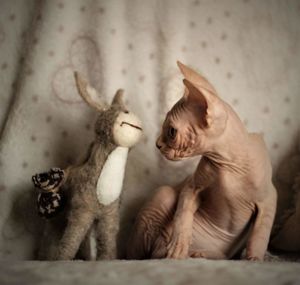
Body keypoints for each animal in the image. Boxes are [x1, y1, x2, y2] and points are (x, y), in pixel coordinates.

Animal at [126, 61, 276, 260]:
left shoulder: (269, 199)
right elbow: (182, 215)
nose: (157, 144)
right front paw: (178, 247)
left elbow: (260, 237)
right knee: (138, 255)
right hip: (164, 195)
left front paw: (254, 260)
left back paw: (200, 253)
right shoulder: (192, 186)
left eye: (171, 131)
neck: (229, 165)